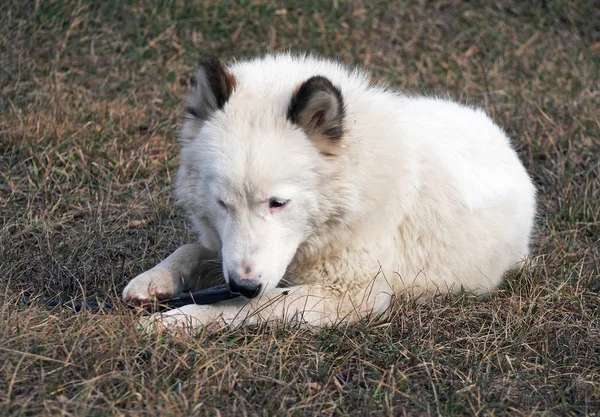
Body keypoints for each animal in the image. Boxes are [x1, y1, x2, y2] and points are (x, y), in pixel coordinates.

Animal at [120, 52, 536, 332]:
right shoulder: (232, 251)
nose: (244, 284)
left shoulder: (352, 295)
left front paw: (181, 320)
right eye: (223, 204)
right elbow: (191, 249)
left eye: (278, 203)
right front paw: (154, 281)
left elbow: (246, 306)